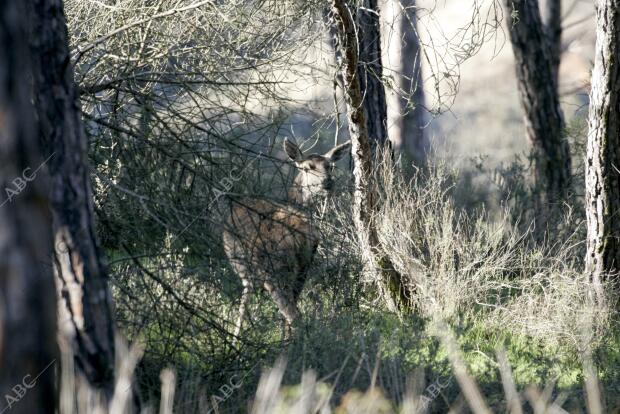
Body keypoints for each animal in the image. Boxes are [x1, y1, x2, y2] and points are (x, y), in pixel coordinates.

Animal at [223, 137, 352, 338]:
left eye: (330, 166)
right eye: (307, 167)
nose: (328, 183)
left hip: (269, 266)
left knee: (290, 312)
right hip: (295, 267)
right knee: (290, 307)